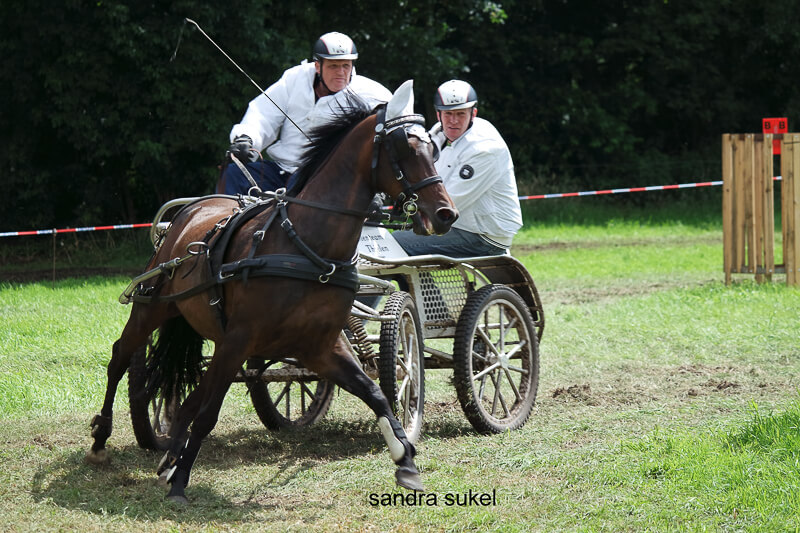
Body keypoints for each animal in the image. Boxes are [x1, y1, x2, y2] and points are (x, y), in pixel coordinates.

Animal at [86, 80, 458, 503]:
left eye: (433, 148)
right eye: (406, 148)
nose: (445, 214)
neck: (306, 246)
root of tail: (192, 210)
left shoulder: (320, 346)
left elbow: (374, 393)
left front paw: (404, 458)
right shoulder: (240, 339)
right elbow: (209, 413)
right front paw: (181, 481)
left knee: (190, 395)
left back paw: (168, 460)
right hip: (154, 309)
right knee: (121, 359)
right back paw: (102, 440)